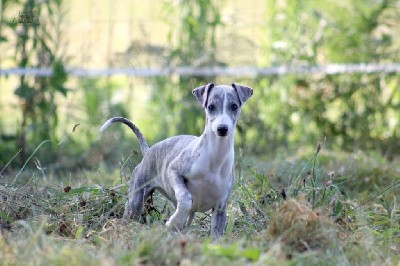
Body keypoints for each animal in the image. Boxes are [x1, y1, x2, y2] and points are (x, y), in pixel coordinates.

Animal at [100, 83, 252, 239]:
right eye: (211, 106)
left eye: (234, 106)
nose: (222, 129)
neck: (214, 159)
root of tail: (148, 152)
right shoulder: (174, 170)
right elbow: (185, 198)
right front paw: (173, 222)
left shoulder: (220, 207)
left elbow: (215, 236)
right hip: (136, 200)